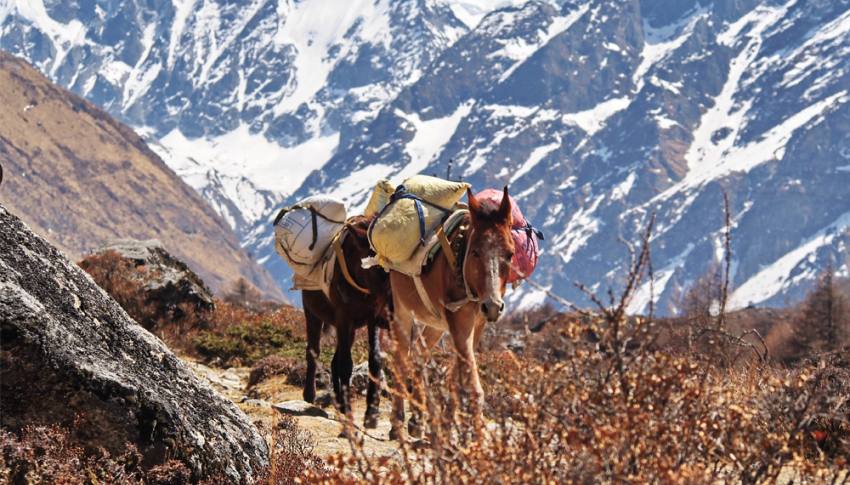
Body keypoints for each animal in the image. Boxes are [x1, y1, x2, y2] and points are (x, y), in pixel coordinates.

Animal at [300, 216, 390, 428]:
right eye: (377, 267)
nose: (390, 316)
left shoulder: (372, 319)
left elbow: (374, 360)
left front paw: (371, 414)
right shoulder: (343, 317)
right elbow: (346, 364)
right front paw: (349, 413)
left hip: (351, 329)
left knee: (334, 360)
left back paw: (340, 403)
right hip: (313, 314)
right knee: (313, 352)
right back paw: (310, 395)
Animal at [388, 185, 512, 438]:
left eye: (510, 254)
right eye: (475, 252)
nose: (493, 306)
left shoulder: (476, 325)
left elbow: (457, 377)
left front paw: (448, 427)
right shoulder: (459, 322)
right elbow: (473, 386)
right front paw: (477, 440)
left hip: (436, 323)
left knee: (418, 356)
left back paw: (417, 421)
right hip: (403, 310)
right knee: (401, 358)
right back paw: (397, 422)